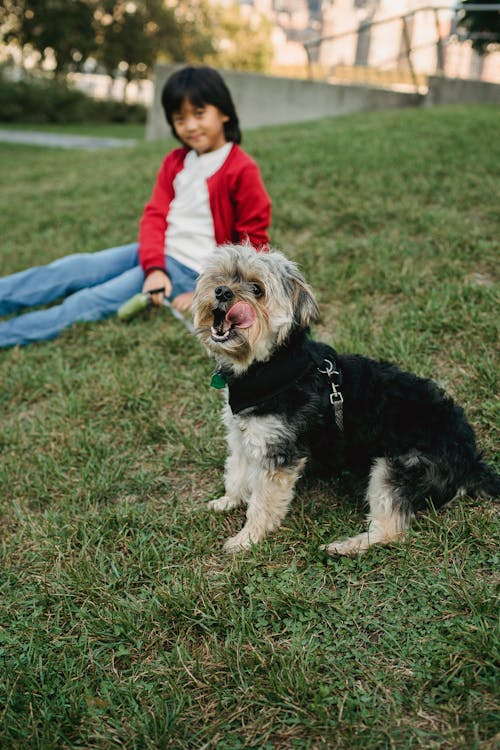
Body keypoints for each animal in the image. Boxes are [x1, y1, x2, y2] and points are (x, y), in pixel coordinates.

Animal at [192, 244, 500, 556]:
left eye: (257, 289)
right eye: (222, 276)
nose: (221, 291)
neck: (267, 366)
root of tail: (471, 461)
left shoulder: (279, 454)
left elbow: (263, 502)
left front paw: (247, 538)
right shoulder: (243, 435)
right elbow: (237, 472)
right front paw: (228, 501)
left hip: (397, 467)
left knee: (391, 530)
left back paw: (344, 547)